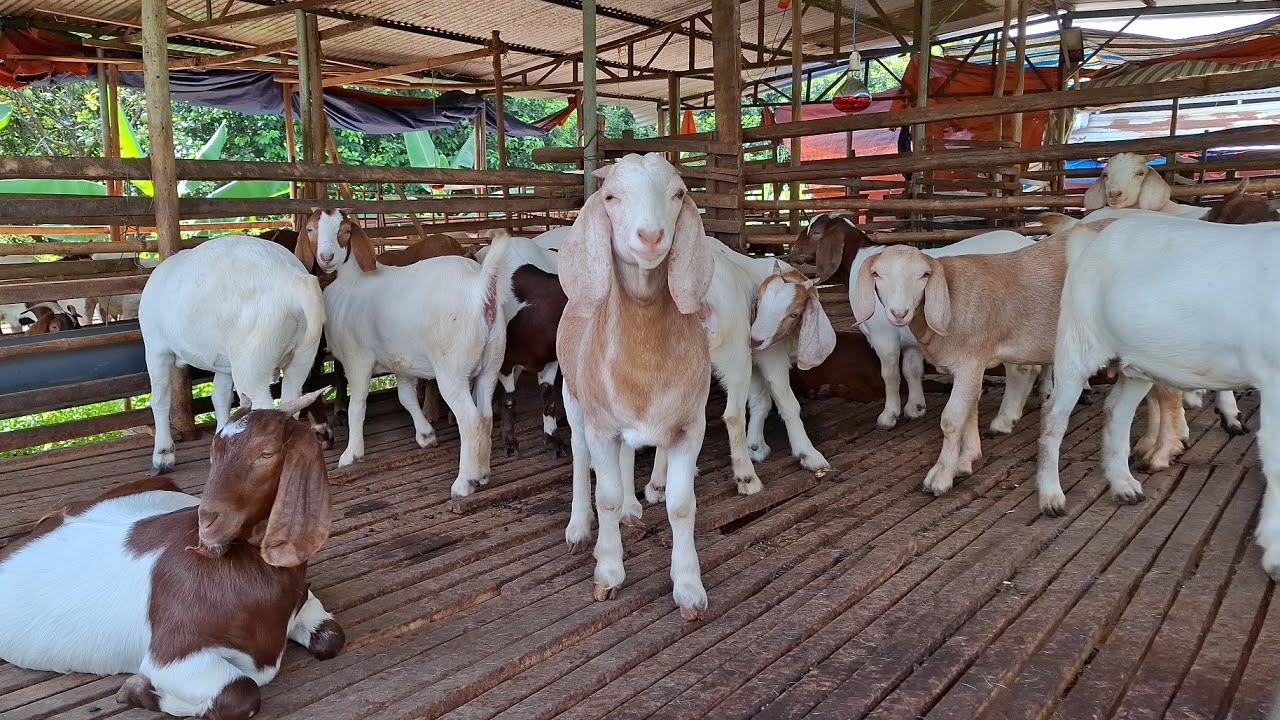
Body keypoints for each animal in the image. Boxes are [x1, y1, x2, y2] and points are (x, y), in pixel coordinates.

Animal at [0, 391, 343, 719]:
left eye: (267, 452)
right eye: (213, 451)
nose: (207, 521)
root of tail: (55, 517)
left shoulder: (305, 602)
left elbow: (332, 638)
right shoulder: (172, 655)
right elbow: (242, 692)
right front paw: (137, 691)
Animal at [138, 235, 325, 473]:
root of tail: (293, 281)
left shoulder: (156, 349)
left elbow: (160, 399)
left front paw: (163, 455)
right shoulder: (225, 363)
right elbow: (221, 397)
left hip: (252, 359)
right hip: (301, 356)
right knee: (292, 400)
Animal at [295, 209, 512, 497]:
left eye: (345, 231)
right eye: (310, 229)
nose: (326, 257)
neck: (351, 281)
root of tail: (480, 286)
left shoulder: (357, 359)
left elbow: (357, 406)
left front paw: (351, 454)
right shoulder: (402, 361)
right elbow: (406, 398)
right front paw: (426, 435)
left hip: (452, 369)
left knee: (469, 419)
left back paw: (465, 482)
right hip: (492, 361)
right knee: (485, 415)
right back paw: (484, 472)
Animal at [558, 153, 714, 620]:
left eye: (678, 194)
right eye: (610, 196)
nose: (651, 236)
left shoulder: (689, 427)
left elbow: (681, 506)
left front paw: (689, 587)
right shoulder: (601, 426)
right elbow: (605, 497)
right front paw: (608, 572)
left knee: (629, 453)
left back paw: (631, 508)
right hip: (573, 400)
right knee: (579, 457)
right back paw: (579, 528)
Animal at [1034, 213, 1280, 579]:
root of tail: (1088, 241)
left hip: (1136, 364)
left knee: (1116, 410)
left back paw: (1124, 486)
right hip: (1077, 344)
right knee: (1054, 418)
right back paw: (1051, 497)